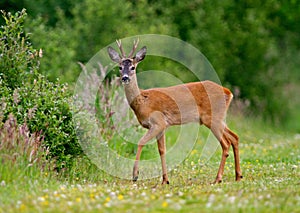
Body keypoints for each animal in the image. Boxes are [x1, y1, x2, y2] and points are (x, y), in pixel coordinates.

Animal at [106, 39, 243, 184]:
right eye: (120, 67)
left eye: (133, 67)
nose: (125, 78)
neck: (143, 101)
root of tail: (228, 92)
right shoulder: (162, 126)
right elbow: (162, 150)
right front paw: (165, 180)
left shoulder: (158, 122)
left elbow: (141, 142)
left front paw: (135, 175)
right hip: (219, 118)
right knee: (234, 137)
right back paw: (238, 176)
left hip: (212, 118)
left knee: (226, 144)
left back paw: (218, 179)